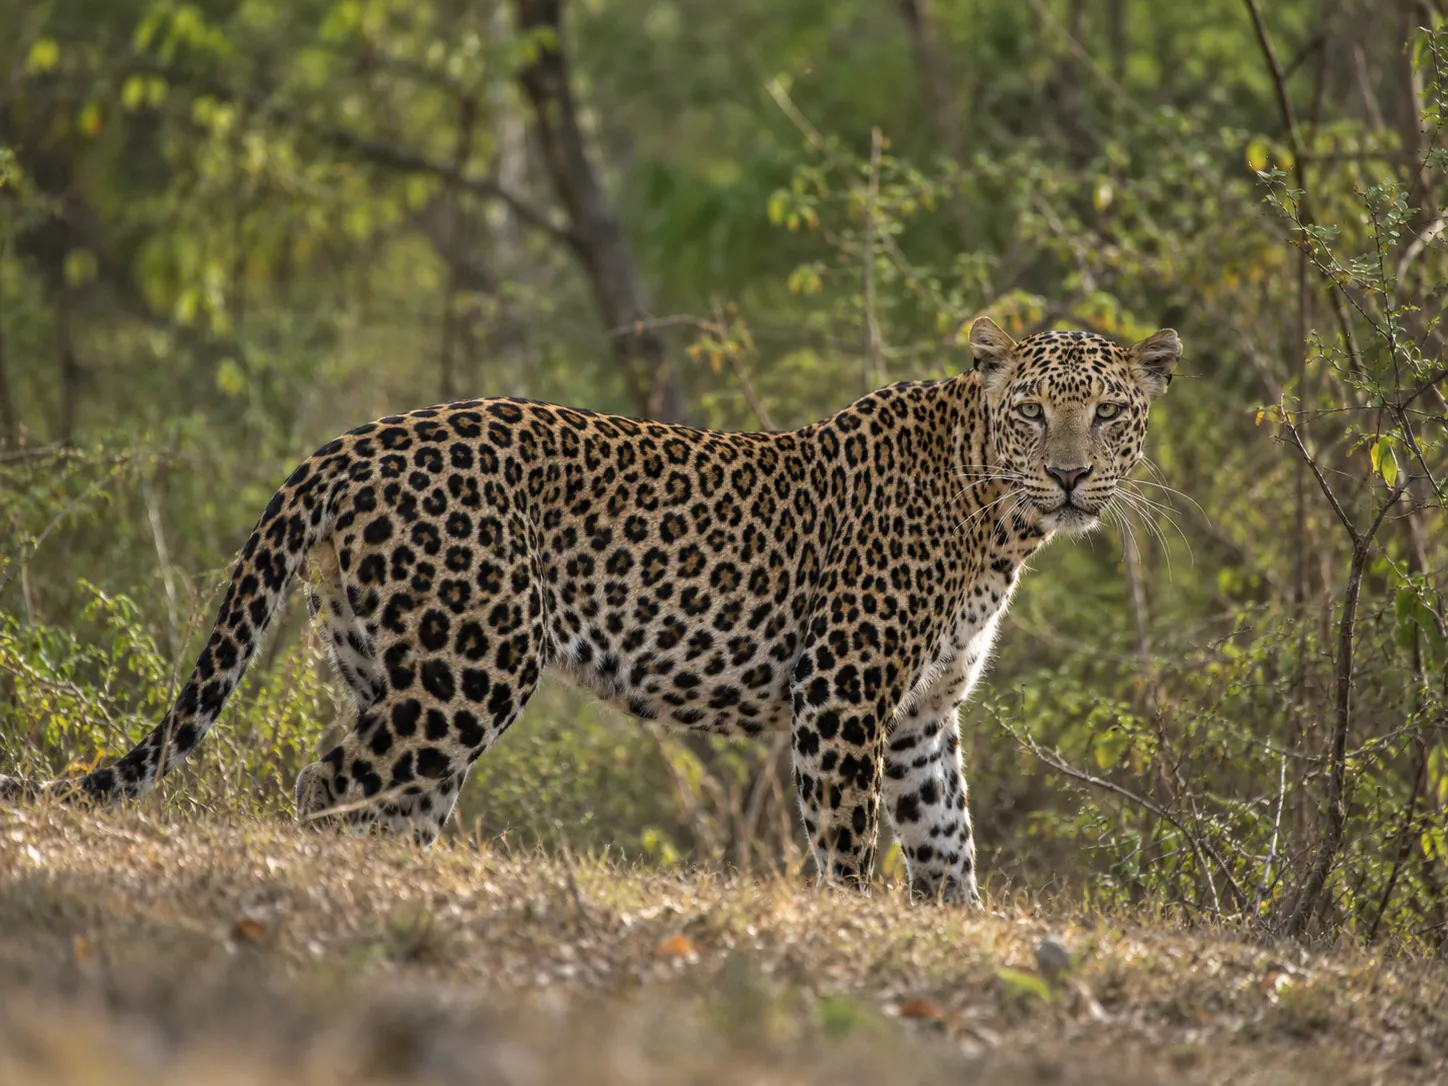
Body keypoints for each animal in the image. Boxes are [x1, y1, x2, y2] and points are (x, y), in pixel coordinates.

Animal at [1, 317, 1183, 905]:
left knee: (383, 798)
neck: (997, 515)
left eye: (1107, 413)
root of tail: (349, 443)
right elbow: (848, 843)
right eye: (1032, 414)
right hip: (468, 668)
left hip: (382, 661)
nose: (1070, 477)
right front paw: (854, 923)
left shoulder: (922, 713)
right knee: (332, 785)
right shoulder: (844, 695)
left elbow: (948, 843)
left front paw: (950, 928)